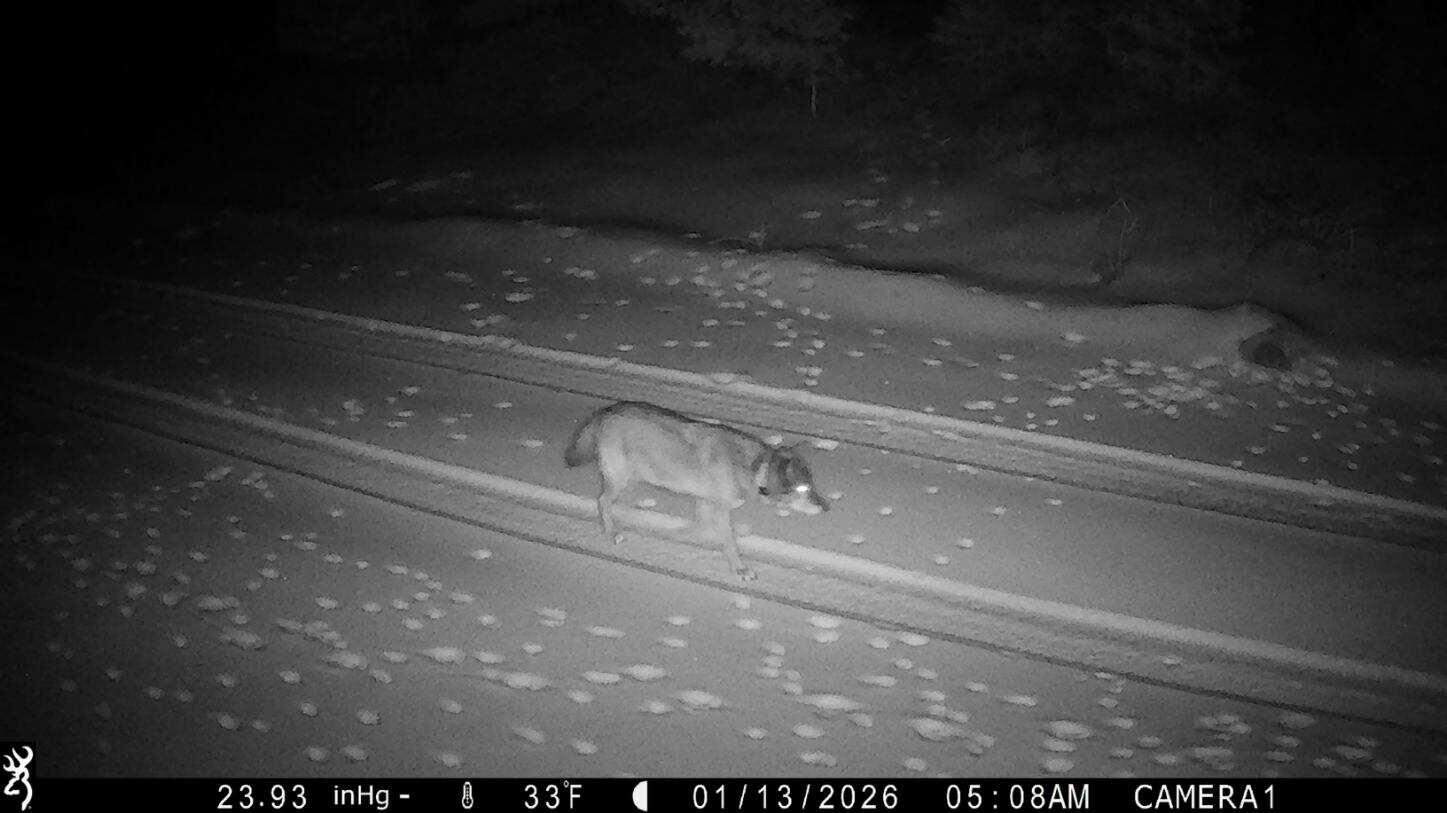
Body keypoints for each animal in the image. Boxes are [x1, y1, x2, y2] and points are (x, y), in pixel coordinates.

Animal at [564, 401, 829, 580]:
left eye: (813, 485)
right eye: (803, 488)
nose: (827, 508)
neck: (753, 469)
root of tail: (608, 409)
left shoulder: (705, 503)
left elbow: (697, 528)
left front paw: (678, 535)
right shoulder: (719, 510)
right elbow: (729, 542)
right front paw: (740, 569)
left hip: (632, 479)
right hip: (620, 479)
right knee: (602, 502)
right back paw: (612, 533)